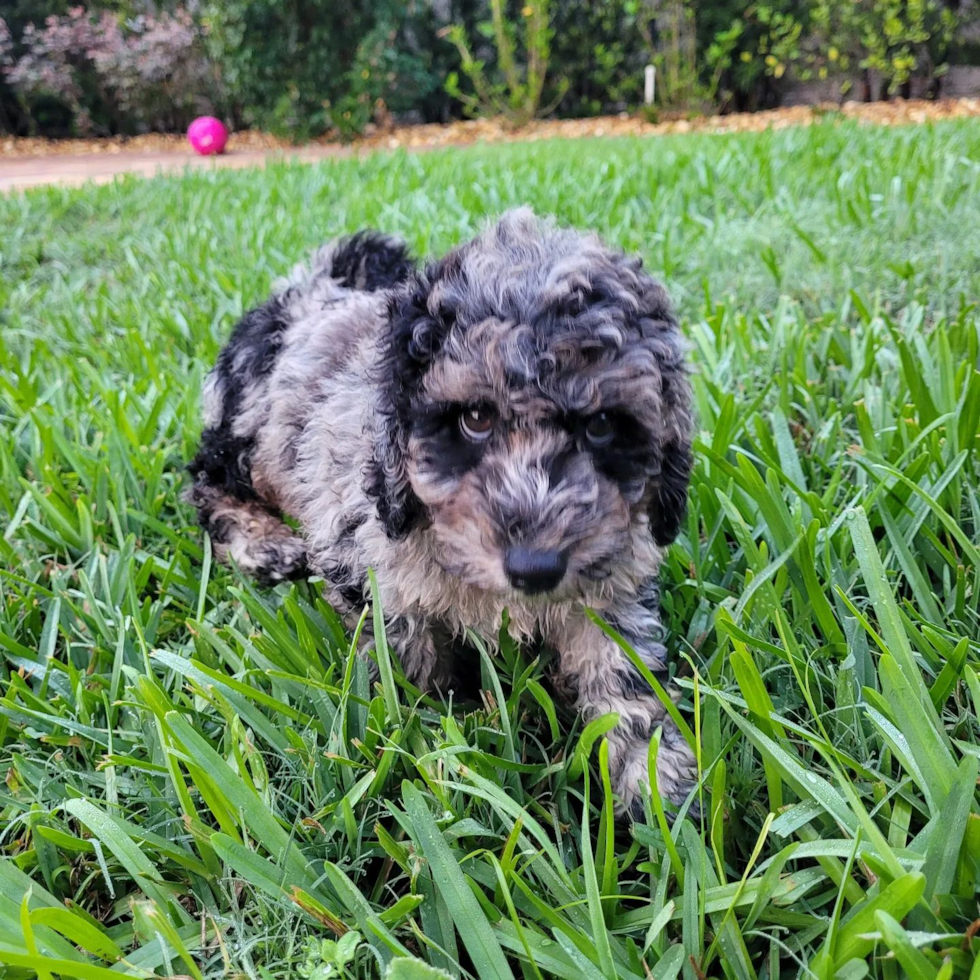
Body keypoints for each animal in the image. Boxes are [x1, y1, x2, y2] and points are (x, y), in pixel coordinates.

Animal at [188, 209, 700, 820]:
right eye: (474, 418)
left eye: (602, 425)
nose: (535, 568)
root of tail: (309, 284)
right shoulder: (367, 558)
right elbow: (413, 667)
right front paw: (435, 743)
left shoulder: (610, 575)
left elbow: (623, 666)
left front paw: (658, 782)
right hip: (241, 429)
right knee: (206, 483)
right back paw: (265, 544)